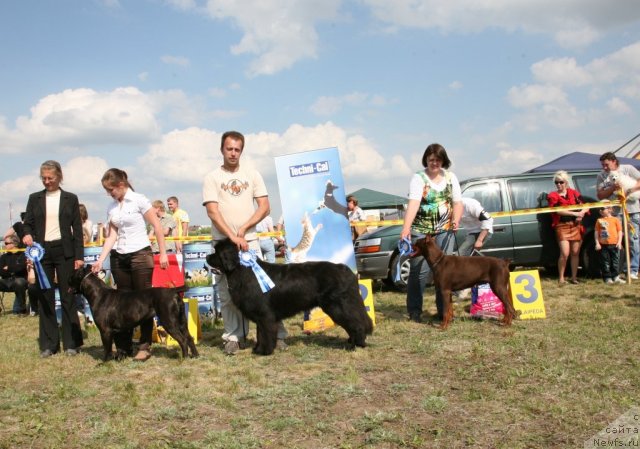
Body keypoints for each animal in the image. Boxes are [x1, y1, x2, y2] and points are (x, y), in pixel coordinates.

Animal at [208, 238, 372, 354]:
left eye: (217, 253)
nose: (207, 257)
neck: (243, 271)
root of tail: (348, 271)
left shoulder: (264, 315)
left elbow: (265, 333)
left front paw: (264, 351)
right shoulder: (261, 316)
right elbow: (260, 333)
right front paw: (257, 349)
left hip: (338, 306)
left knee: (355, 323)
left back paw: (356, 344)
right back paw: (350, 342)